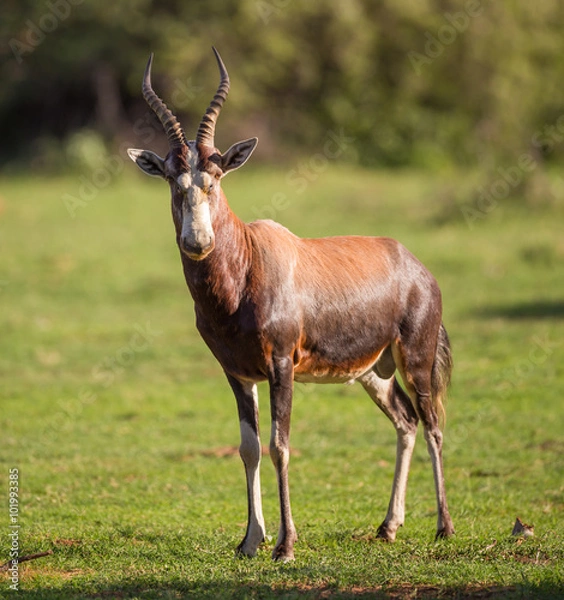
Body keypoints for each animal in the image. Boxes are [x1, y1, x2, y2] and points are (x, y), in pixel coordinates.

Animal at [126, 49, 454, 560]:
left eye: (215, 177)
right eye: (172, 180)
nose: (197, 242)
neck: (248, 261)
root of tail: (416, 266)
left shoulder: (281, 365)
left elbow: (280, 445)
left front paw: (285, 546)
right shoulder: (237, 373)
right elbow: (249, 448)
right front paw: (250, 541)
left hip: (415, 359)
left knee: (433, 421)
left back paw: (444, 527)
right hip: (373, 371)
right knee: (405, 422)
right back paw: (388, 527)